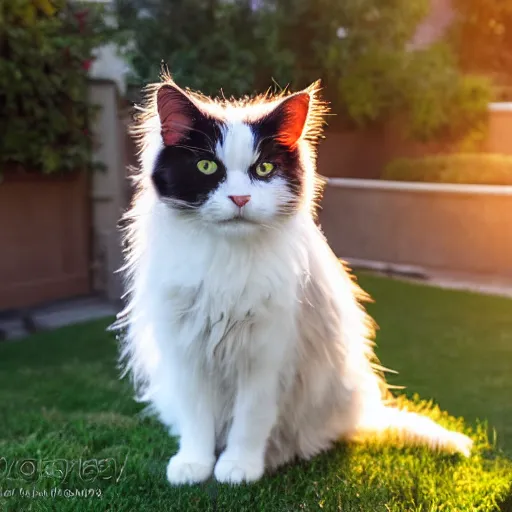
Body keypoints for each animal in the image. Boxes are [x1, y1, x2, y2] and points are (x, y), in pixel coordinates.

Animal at [114, 74, 474, 486]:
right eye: (206, 166)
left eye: (264, 169)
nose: (240, 198)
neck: (227, 260)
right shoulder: (187, 351)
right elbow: (197, 419)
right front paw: (194, 465)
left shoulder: (266, 354)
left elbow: (249, 420)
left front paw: (238, 467)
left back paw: (279, 455)